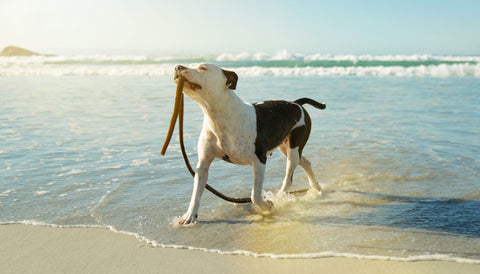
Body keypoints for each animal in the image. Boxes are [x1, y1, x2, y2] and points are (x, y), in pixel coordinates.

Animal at [173, 63, 326, 224]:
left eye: (203, 68)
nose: (177, 67)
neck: (218, 115)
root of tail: (296, 103)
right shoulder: (203, 164)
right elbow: (196, 193)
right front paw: (189, 216)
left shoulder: (259, 161)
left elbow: (255, 196)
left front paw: (267, 205)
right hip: (286, 147)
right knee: (306, 163)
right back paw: (317, 188)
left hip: (293, 149)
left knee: (289, 178)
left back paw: (279, 197)